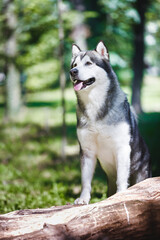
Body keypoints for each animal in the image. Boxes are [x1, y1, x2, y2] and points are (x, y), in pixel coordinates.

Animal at [69, 41, 151, 204]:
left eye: (88, 63)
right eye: (74, 64)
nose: (72, 72)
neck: (95, 105)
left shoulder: (122, 147)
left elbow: (121, 178)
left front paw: (120, 196)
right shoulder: (87, 151)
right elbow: (85, 181)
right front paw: (83, 199)